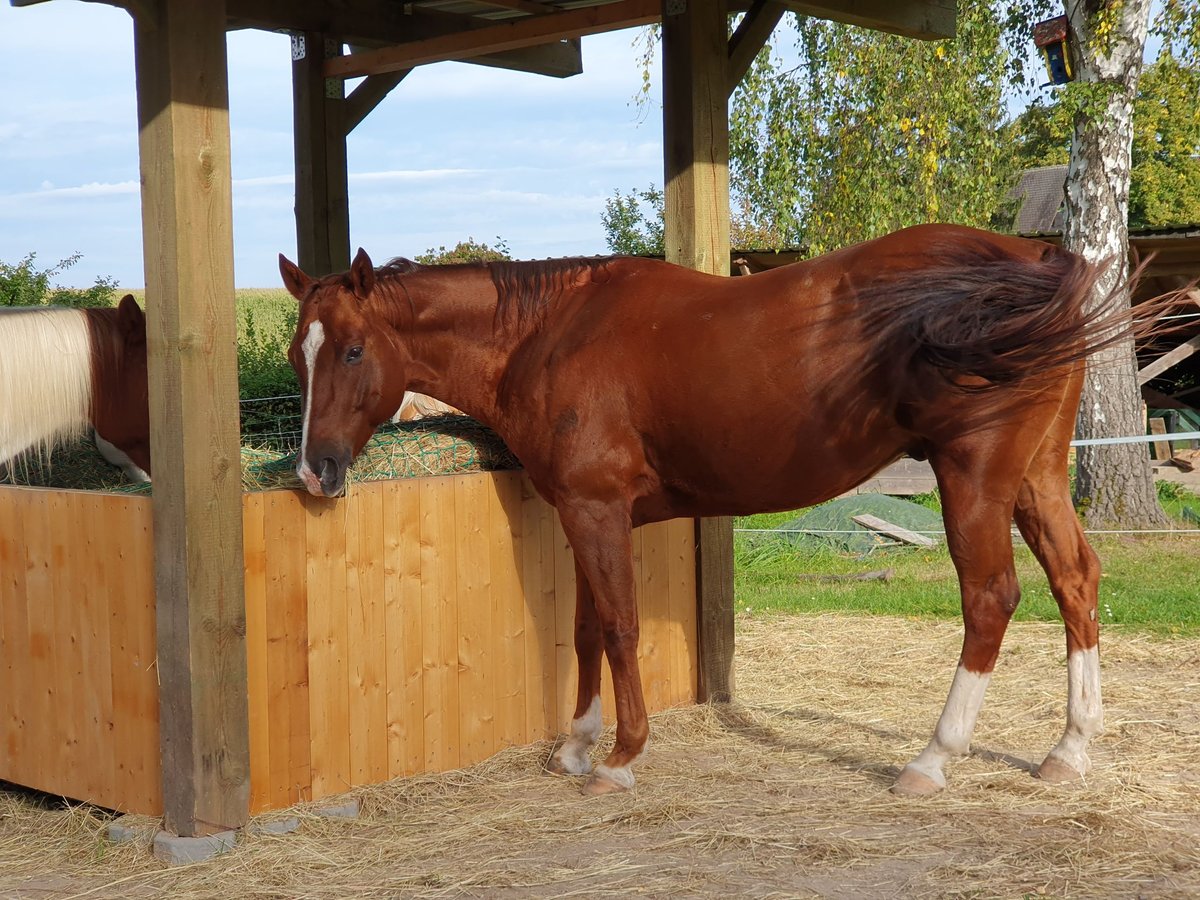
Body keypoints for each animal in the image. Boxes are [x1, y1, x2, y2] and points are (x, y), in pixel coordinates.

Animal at [280, 224, 1132, 796]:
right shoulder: (585, 516)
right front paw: (578, 746)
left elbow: (619, 627)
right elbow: (586, 629)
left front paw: (621, 757)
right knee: (1075, 580)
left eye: (352, 350)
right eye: (298, 354)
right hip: (1036, 477)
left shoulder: (596, 510)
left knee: (991, 598)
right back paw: (1069, 750)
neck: (549, 335)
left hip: (974, 476)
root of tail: (1039, 259)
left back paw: (932, 759)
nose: (314, 471)